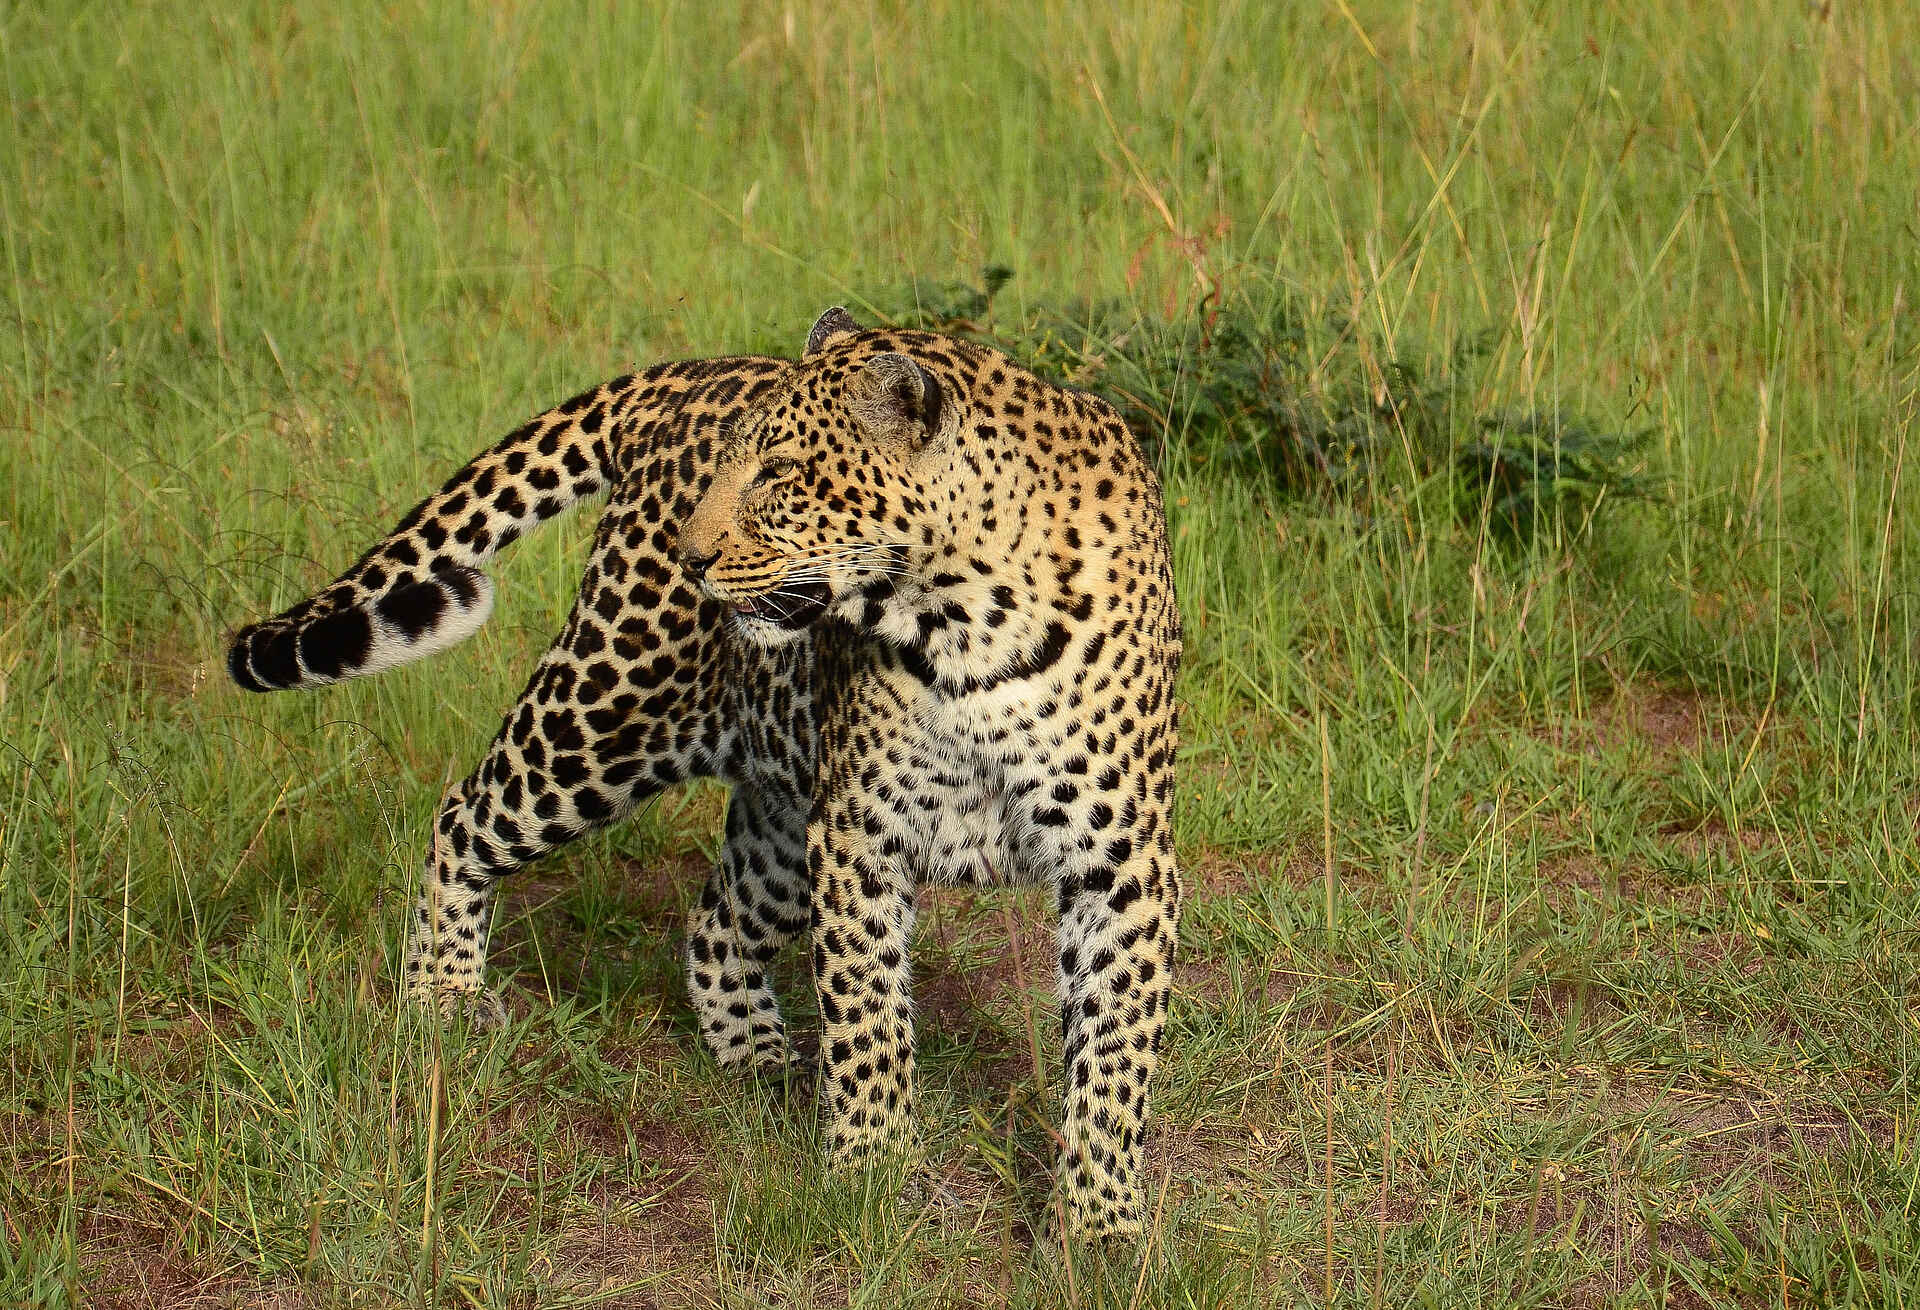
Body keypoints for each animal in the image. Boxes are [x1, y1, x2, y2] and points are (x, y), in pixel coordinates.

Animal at [226, 308, 1184, 1238]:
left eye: (781, 474)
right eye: (736, 463)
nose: (690, 556)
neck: (969, 619)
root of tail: (685, 375)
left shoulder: (1123, 861)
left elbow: (1115, 1052)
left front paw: (1100, 1226)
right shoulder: (861, 833)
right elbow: (867, 1017)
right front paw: (873, 1177)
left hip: (778, 812)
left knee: (716, 922)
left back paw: (754, 1056)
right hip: (606, 713)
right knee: (464, 812)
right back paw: (444, 1000)